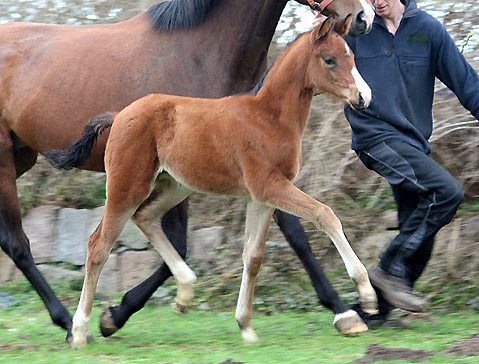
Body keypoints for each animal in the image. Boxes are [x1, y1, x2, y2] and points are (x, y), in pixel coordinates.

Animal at [0, 0, 376, 342]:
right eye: (330, 59)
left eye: (352, 57)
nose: (364, 97)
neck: (267, 115)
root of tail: (119, 115)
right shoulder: (269, 186)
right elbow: (324, 215)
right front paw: (362, 299)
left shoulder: (262, 195)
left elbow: (255, 254)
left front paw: (247, 324)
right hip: (122, 184)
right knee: (90, 245)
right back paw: (75, 328)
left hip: (169, 184)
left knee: (145, 218)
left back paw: (179, 292)